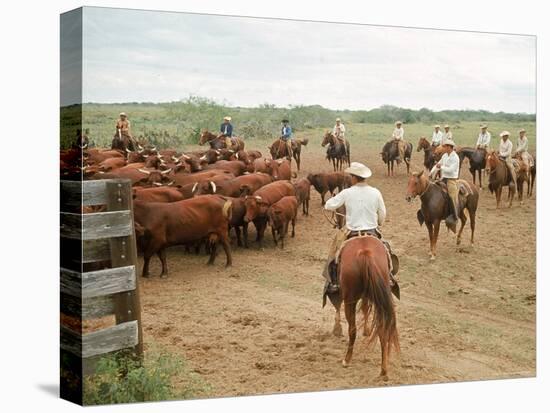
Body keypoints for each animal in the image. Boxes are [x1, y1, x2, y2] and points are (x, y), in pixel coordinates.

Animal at [328, 235, 402, 376]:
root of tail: (365, 253)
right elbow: (366, 308)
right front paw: (367, 330)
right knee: (382, 328)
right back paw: (383, 370)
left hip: (350, 300)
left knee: (352, 329)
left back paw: (347, 360)